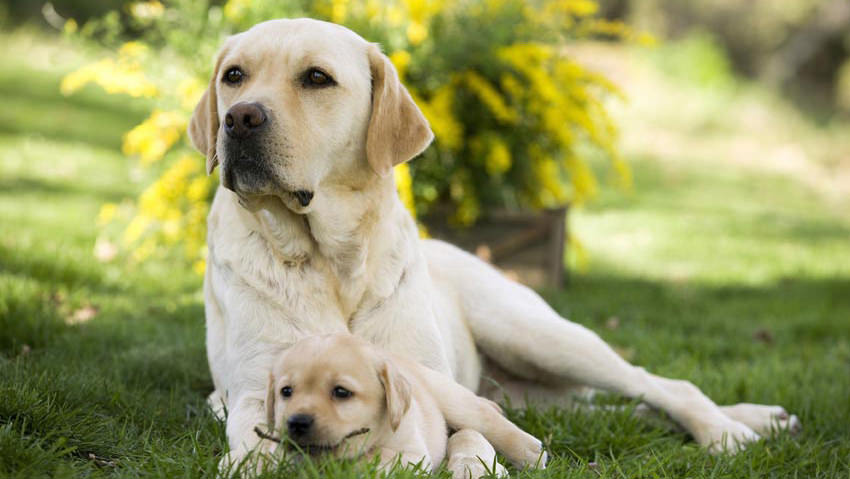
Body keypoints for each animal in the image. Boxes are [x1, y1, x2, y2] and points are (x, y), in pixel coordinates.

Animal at [260, 336, 544, 478]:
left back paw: (532, 453)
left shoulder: (411, 455)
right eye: (286, 392)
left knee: (488, 420)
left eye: (341, 392)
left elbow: (369, 459)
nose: (297, 422)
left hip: (455, 400)